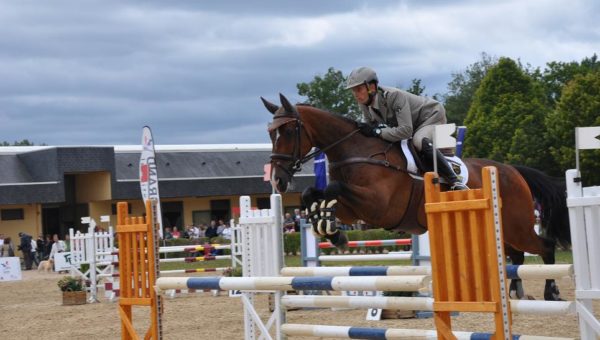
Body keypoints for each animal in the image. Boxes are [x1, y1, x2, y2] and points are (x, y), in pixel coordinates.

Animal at [264, 92, 572, 300]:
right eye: (270, 133)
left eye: (288, 130)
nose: (277, 180)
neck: (357, 151)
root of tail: (512, 170)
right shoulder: (355, 211)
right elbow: (312, 193)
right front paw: (329, 228)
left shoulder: (378, 206)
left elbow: (332, 189)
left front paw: (332, 230)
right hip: (502, 229)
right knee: (516, 255)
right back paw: (516, 292)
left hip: (518, 225)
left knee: (545, 247)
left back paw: (551, 292)